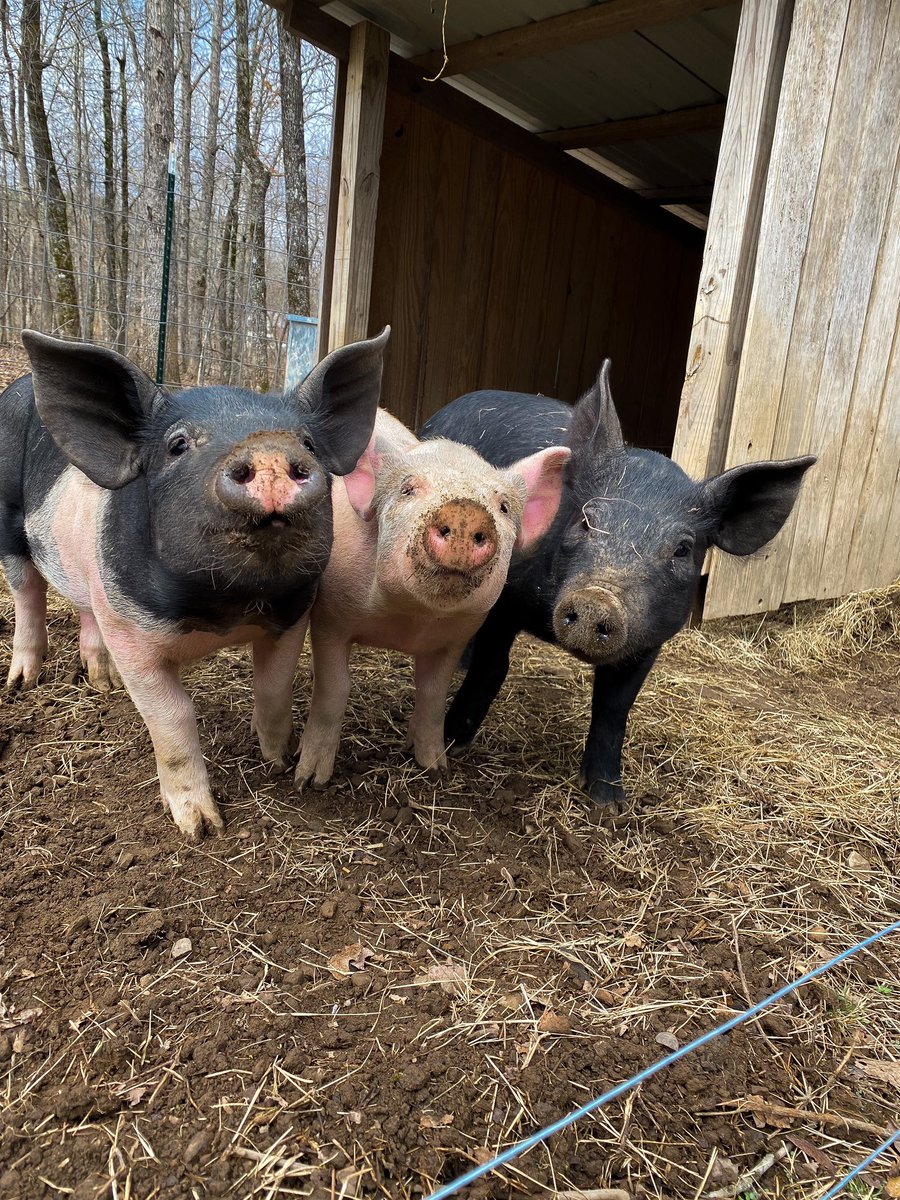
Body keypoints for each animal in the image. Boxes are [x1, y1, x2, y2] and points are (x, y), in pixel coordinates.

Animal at [0, 327, 389, 837]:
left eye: (308, 441)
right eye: (178, 444)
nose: (269, 449)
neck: (223, 613)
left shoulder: (292, 615)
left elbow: (273, 686)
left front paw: (280, 762)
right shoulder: (129, 631)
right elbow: (173, 716)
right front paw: (203, 828)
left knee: (82, 607)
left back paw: (102, 683)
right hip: (6, 518)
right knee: (27, 592)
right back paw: (21, 684)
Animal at [294, 409, 570, 788]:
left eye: (502, 506)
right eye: (408, 489)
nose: (465, 511)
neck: (410, 621)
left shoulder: (454, 638)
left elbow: (433, 695)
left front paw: (436, 769)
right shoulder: (330, 620)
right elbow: (335, 689)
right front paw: (309, 781)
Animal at [418, 363, 816, 812]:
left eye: (682, 549)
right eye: (586, 521)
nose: (597, 600)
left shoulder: (651, 639)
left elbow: (614, 707)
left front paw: (609, 805)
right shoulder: (506, 601)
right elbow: (492, 669)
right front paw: (451, 743)